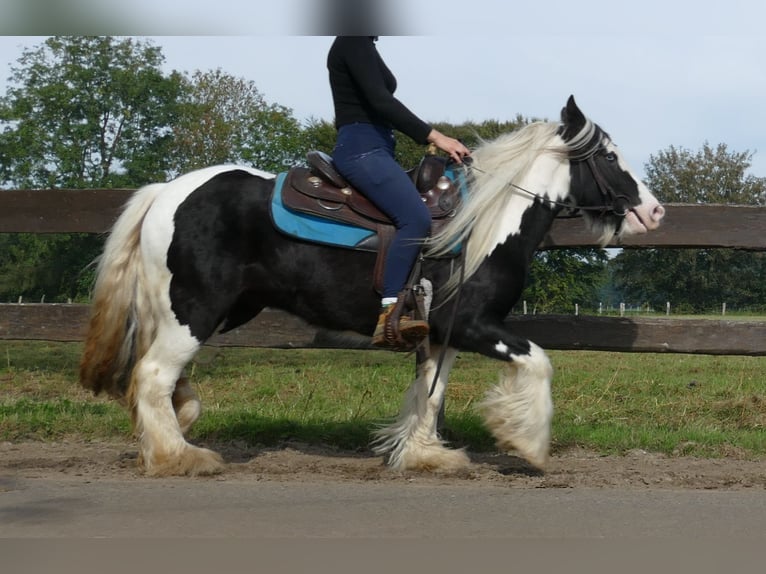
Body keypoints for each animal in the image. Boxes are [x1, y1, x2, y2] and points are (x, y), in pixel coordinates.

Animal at [79, 98, 664, 476]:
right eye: (610, 157)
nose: (654, 211)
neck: (487, 222)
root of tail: (165, 192)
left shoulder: (442, 334)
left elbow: (432, 393)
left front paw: (426, 455)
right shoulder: (475, 325)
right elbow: (539, 361)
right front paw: (528, 442)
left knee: (165, 382)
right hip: (194, 312)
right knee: (153, 376)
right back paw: (180, 457)